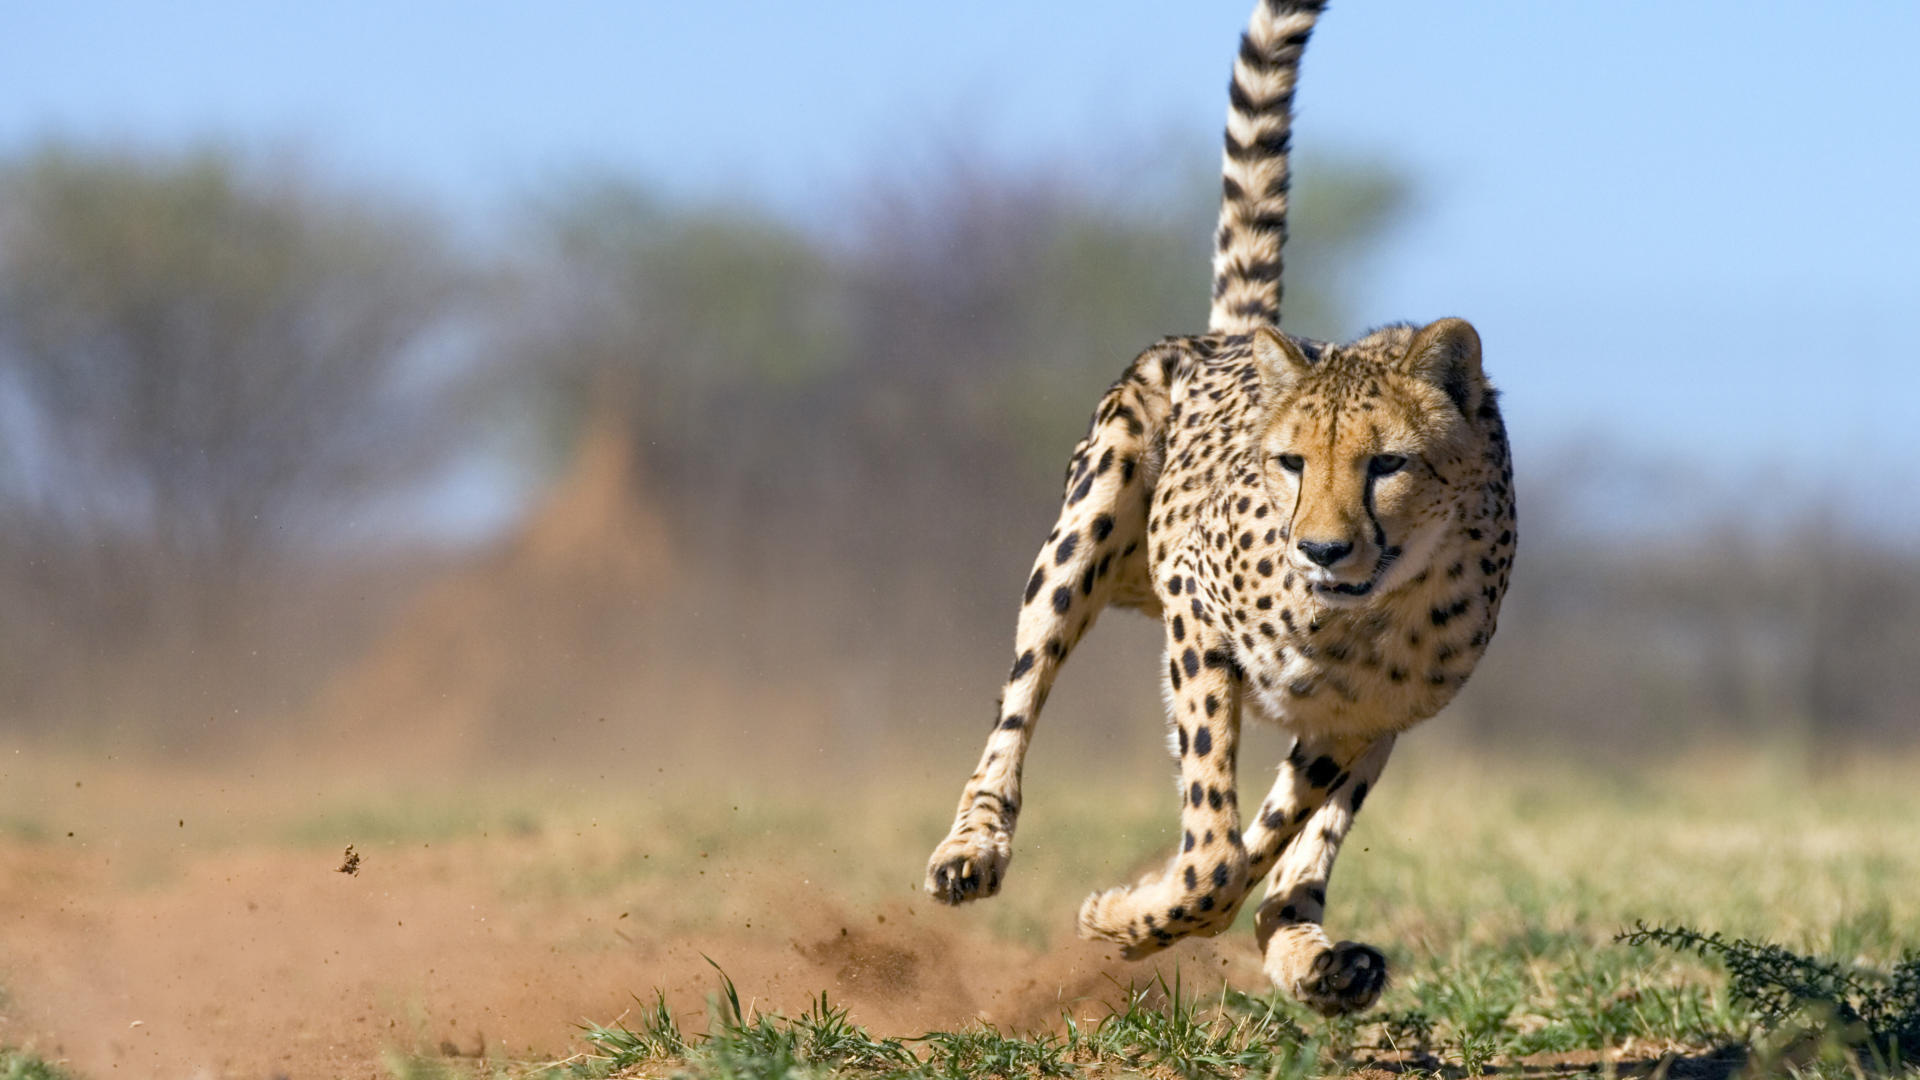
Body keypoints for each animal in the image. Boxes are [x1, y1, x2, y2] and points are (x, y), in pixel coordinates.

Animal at [922, 0, 1515, 1017]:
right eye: (1290, 464)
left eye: (1388, 465)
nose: (1322, 549)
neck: (1363, 614)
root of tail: (1238, 335)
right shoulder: (1198, 621)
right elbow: (1214, 851)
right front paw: (1125, 918)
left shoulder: (1357, 718)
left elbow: (1262, 842)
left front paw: (1144, 916)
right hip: (1089, 525)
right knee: (1020, 700)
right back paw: (974, 847)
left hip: (1382, 726)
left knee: (1295, 856)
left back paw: (1315, 954)